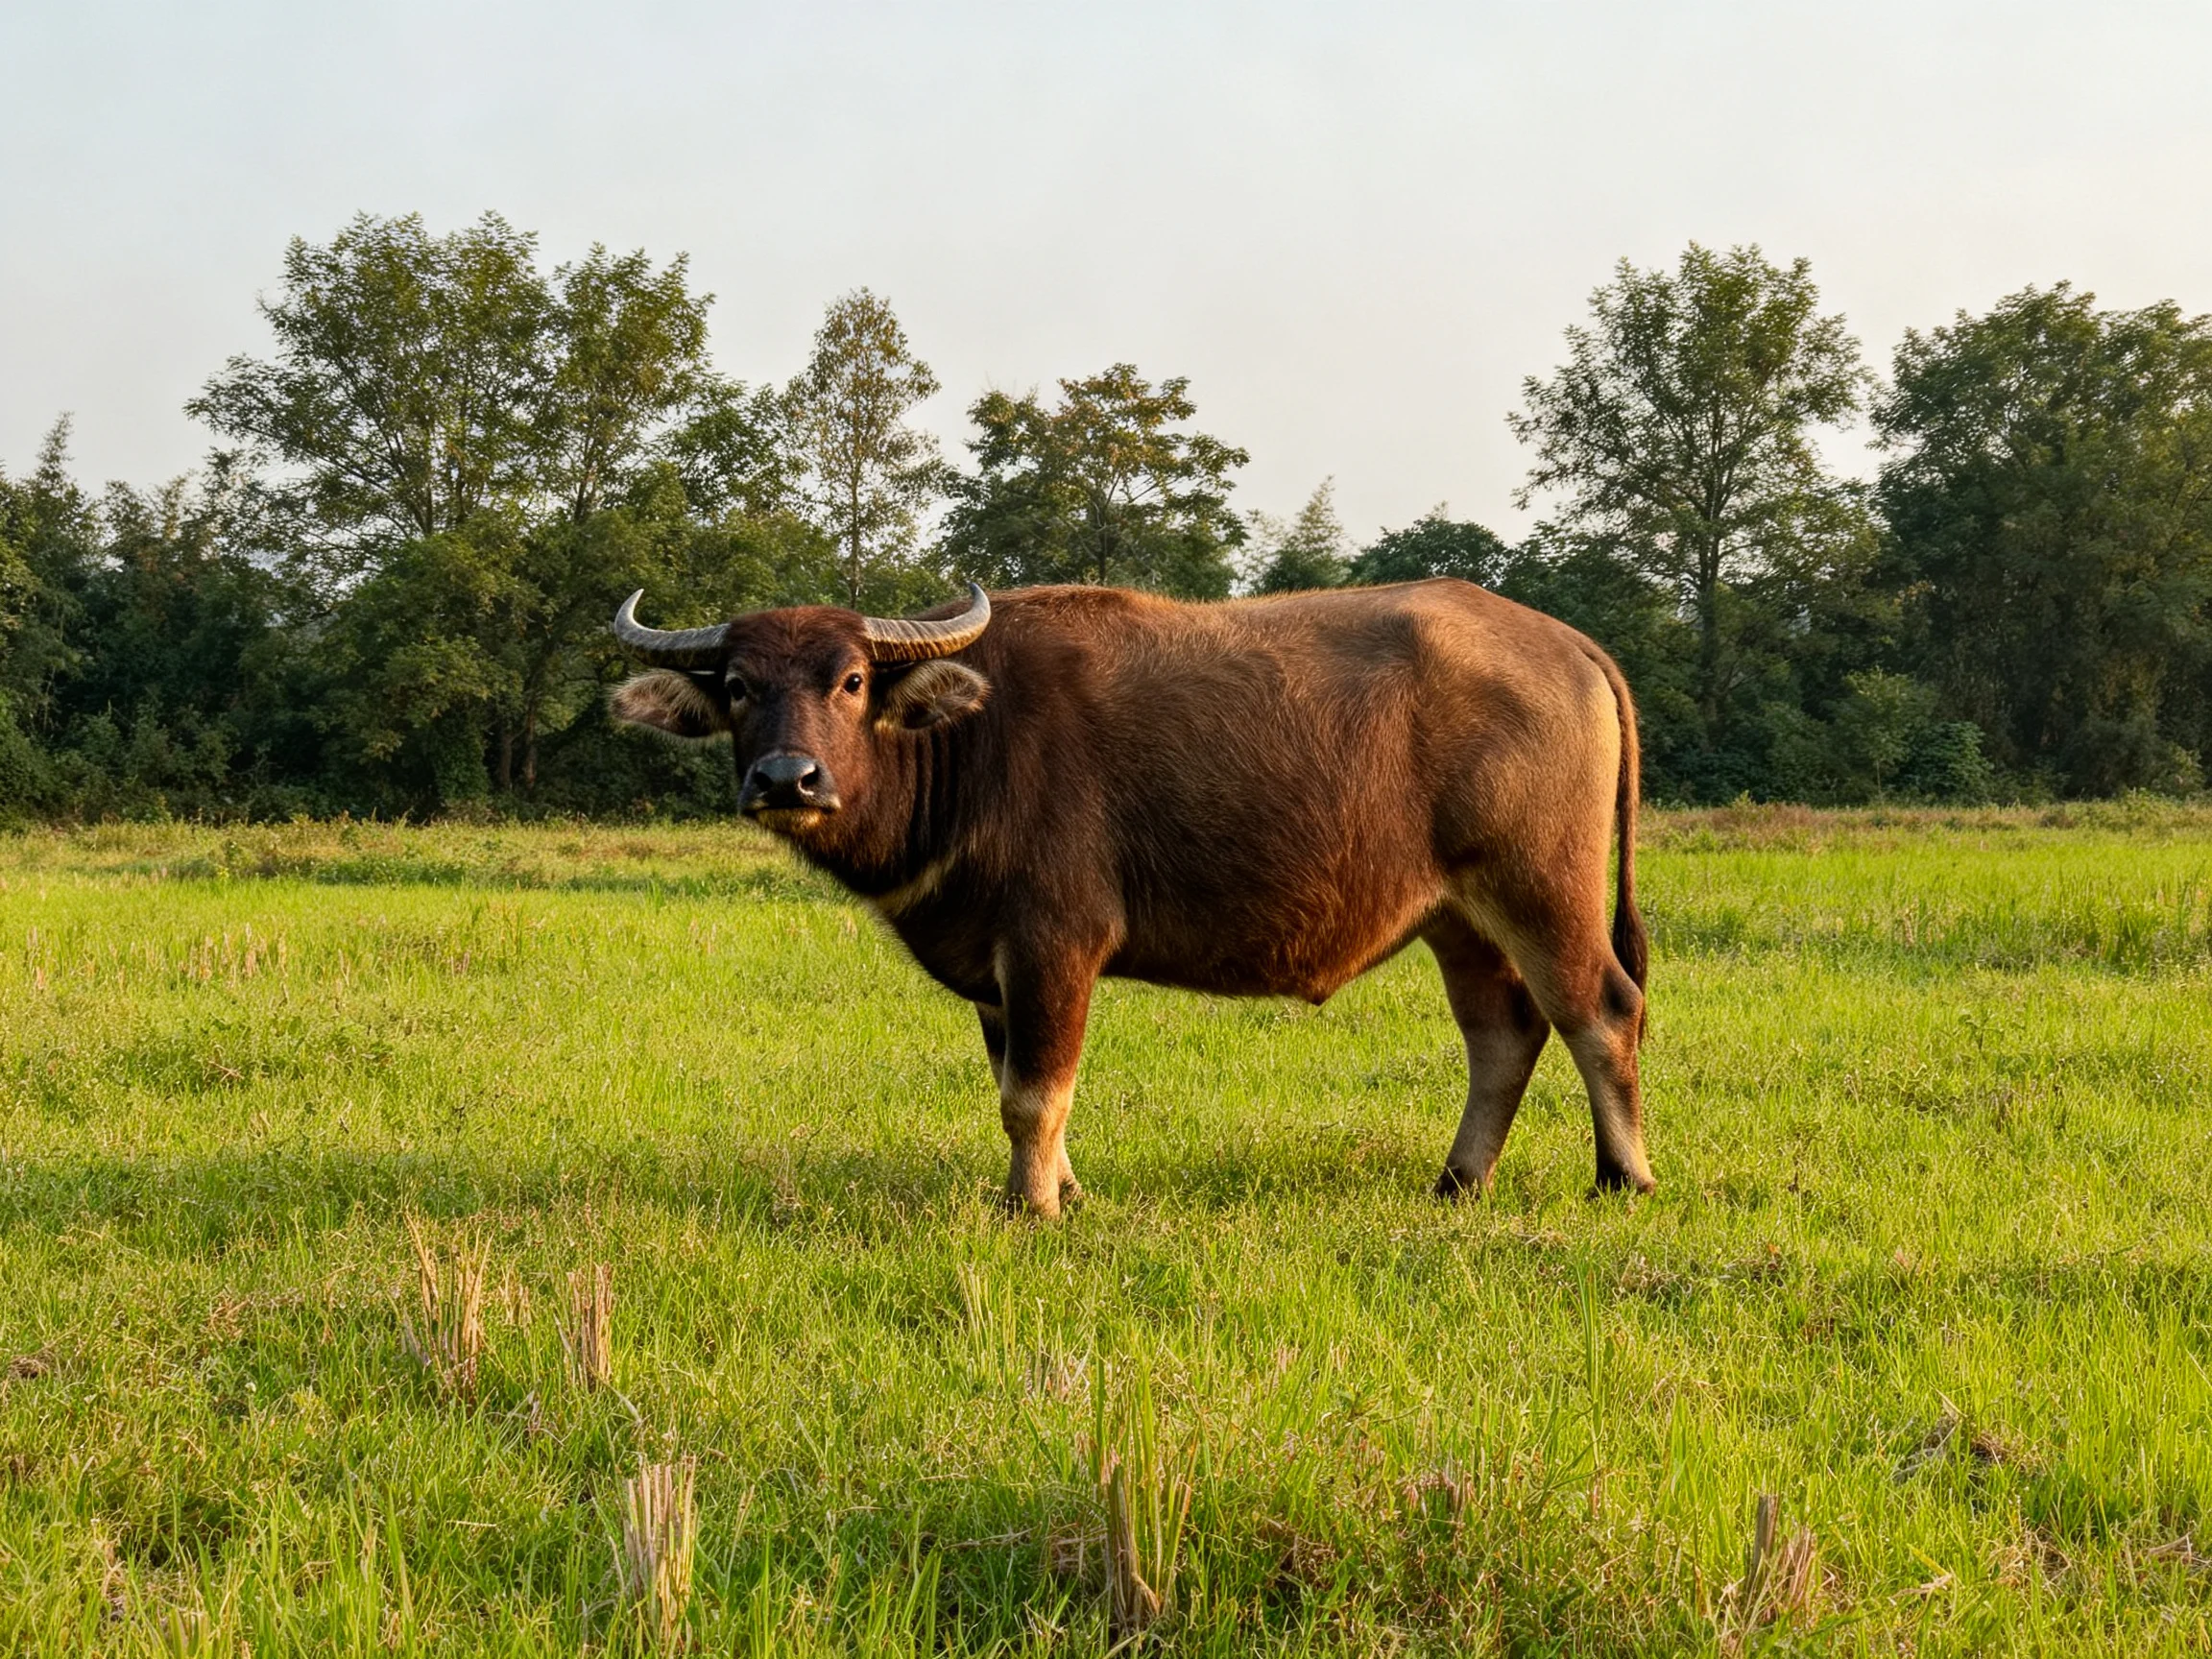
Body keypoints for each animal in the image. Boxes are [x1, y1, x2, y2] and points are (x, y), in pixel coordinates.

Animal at [611, 579, 1652, 1215]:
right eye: (738, 686)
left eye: (853, 679)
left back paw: (1623, 1176)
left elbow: (1035, 1093)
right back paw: (1458, 1181)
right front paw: (1063, 1192)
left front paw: (1029, 1206)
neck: (968, 744)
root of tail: (1568, 646)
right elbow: (1019, 1085)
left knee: (1601, 1010)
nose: (789, 779)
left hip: (1539, 882)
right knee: (1503, 1031)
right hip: (1456, 915)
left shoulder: (1054, 943)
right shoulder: (997, 970)